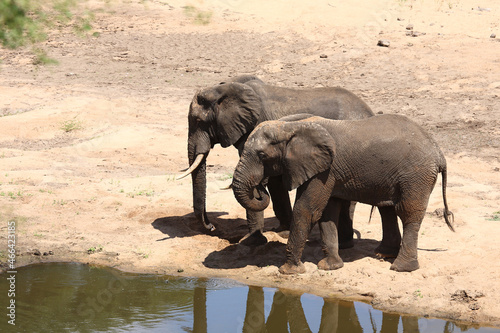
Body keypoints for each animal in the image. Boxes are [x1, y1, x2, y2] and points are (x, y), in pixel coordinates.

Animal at [178, 76, 374, 246]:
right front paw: (283, 232)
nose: (211, 227)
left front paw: (251, 241)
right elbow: (273, 181)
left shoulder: (256, 129)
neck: (224, 88)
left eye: (198, 121)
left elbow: (259, 179)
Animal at [232, 113, 456, 272]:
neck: (290, 127)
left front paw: (289, 271)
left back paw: (401, 268)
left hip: (416, 176)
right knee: (388, 209)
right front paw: (330, 267)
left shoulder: (324, 170)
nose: (260, 186)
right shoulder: (326, 171)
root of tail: (439, 153)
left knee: (407, 213)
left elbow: (307, 210)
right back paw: (383, 255)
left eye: (262, 155)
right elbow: (327, 212)